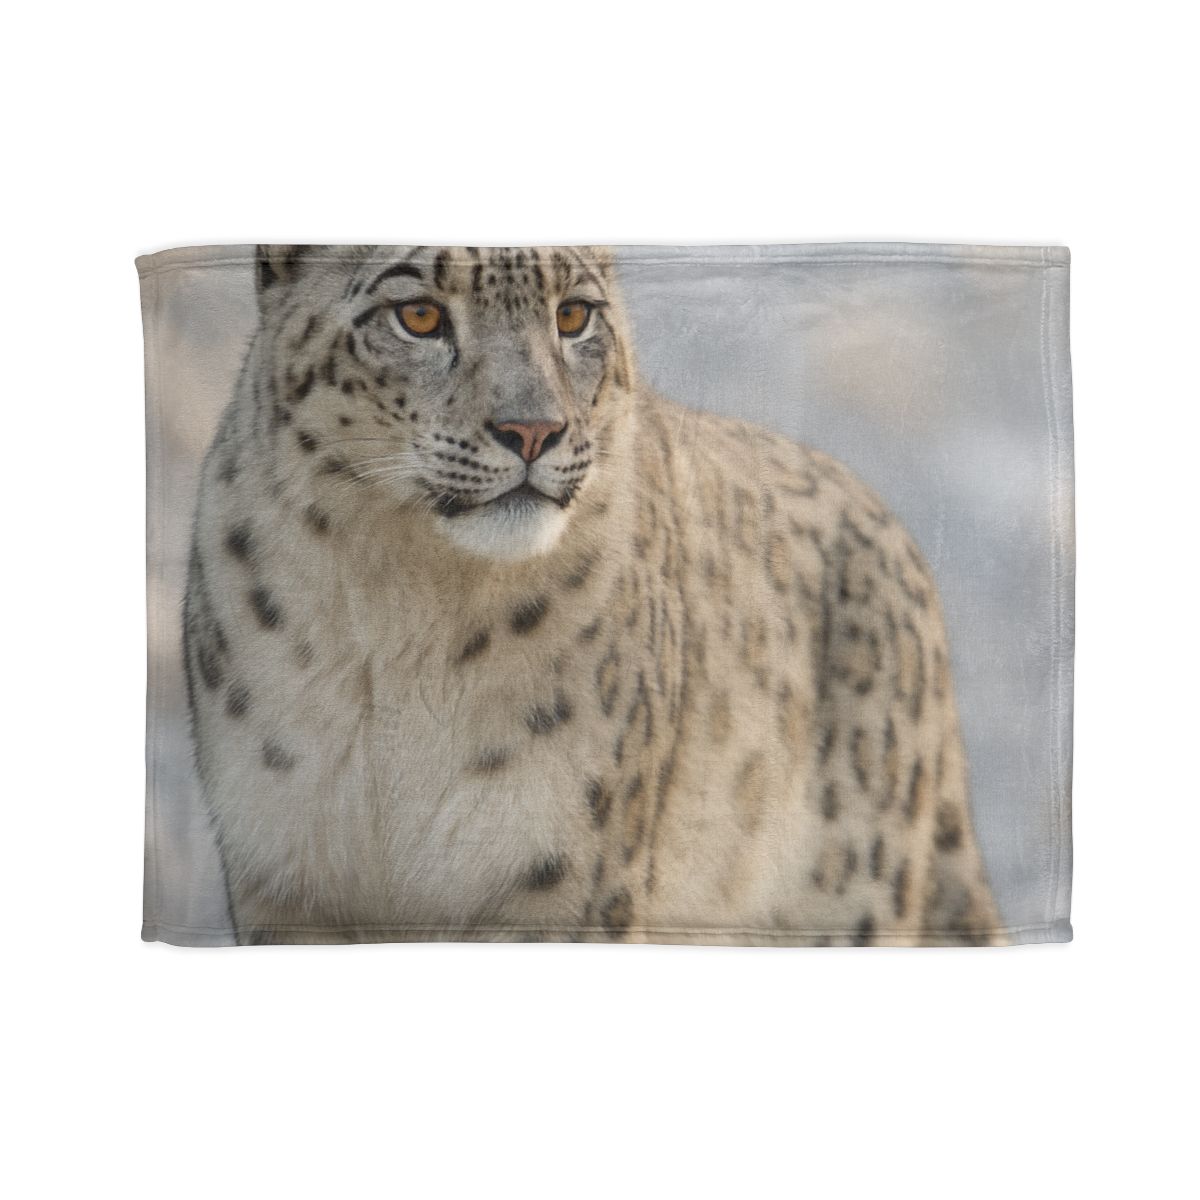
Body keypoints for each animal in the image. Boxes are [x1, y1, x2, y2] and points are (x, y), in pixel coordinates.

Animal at [183, 243, 1002, 945]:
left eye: (573, 314)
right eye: (417, 315)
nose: (532, 430)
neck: (403, 624)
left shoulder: (564, 877)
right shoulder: (282, 874)